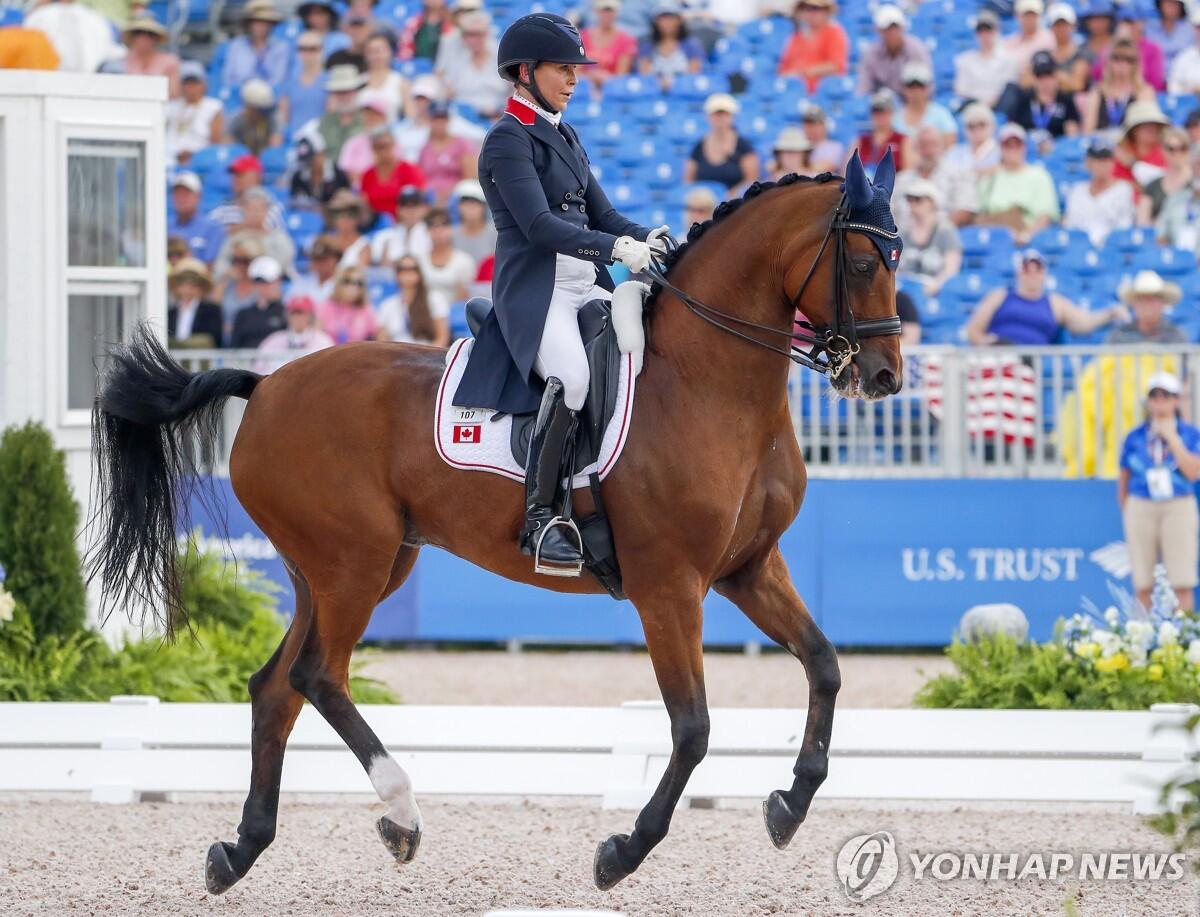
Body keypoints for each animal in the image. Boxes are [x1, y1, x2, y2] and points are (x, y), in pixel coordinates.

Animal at [87, 152, 902, 897]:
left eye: (897, 259)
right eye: (864, 261)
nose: (885, 377)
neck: (705, 381)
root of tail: (264, 387)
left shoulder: (750, 566)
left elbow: (825, 664)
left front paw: (789, 804)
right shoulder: (669, 586)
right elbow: (693, 726)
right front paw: (623, 851)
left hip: (348, 568)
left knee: (275, 687)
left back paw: (240, 850)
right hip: (353, 564)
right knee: (317, 675)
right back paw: (401, 814)